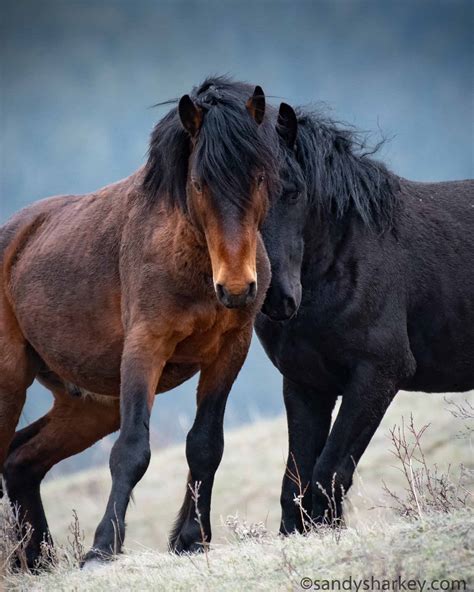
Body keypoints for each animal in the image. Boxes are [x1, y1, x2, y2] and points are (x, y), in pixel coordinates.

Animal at [0, 76, 294, 568]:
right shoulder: (146, 347)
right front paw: (102, 547)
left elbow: (205, 445)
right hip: (11, 379)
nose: (236, 288)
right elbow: (132, 450)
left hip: (88, 405)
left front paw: (191, 538)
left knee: (21, 461)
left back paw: (37, 560)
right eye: (198, 183)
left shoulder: (229, 352)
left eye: (259, 177)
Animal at [256, 105, 474, 532]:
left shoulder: (378, 375)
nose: (277, 298)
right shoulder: (306, 384)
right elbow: (295, 486)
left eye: (293, 191)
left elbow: (328, 473)